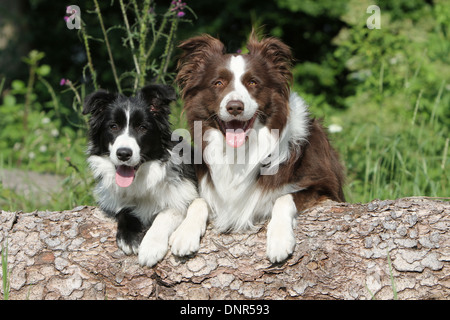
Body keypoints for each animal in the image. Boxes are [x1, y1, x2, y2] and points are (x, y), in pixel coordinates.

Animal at [83, 84, 205, 266]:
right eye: (113, 126)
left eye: (142, 127)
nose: (123, 154)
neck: (142, 177)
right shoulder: (112, 199)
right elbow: (124, 209)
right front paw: (129, 236)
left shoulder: (181, 194)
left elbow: (167, 213)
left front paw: (151, 247)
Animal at [171, 31, 342, 262]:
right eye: (218, 83)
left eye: (253, 82)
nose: (235, 107)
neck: (239, 152)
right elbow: (198, 201)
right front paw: (185, 233)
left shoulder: (324, 188)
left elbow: (284, 197)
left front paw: (279, 239)